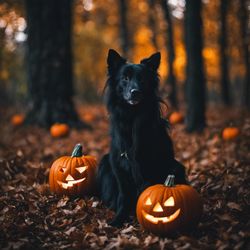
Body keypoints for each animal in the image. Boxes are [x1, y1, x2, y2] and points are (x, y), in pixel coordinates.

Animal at [96, 48, 187, 227]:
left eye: (142, 80)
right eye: (125, 78)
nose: (135, 92)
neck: (132, 117)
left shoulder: (149, 166)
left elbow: (146, 195)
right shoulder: (118, 165)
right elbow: (123, 196)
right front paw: (118, 219)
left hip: (176, 167)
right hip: (105, 162)